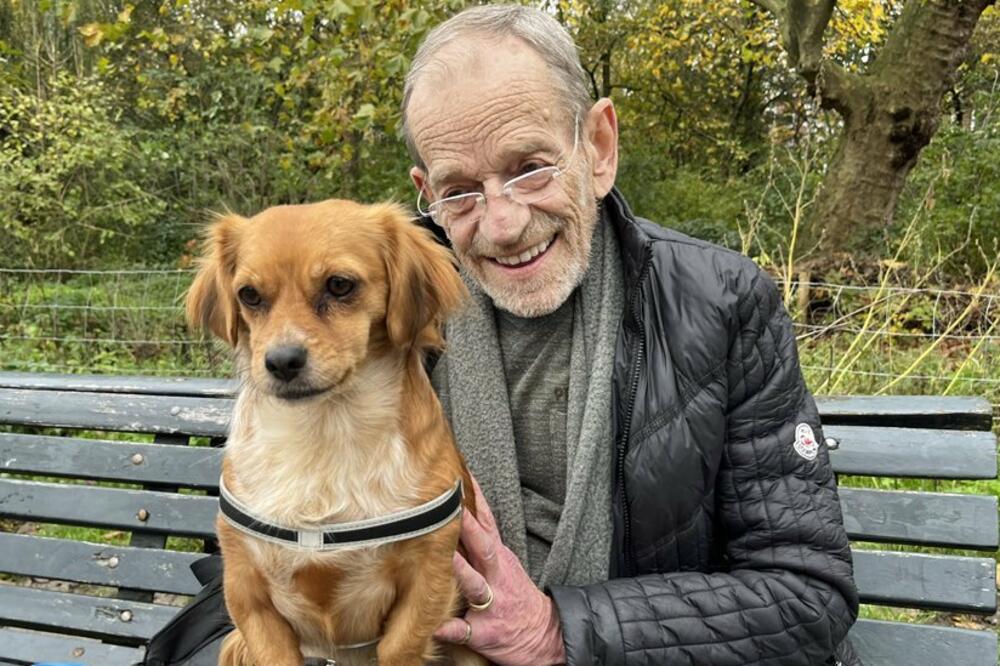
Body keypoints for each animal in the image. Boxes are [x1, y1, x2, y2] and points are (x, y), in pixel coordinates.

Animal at [187, 200, 484, 660]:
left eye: (340, 285)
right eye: (249, 295)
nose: (282, 361)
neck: (324, 432)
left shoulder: (430, 578)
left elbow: (399, 647)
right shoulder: (246, 590)